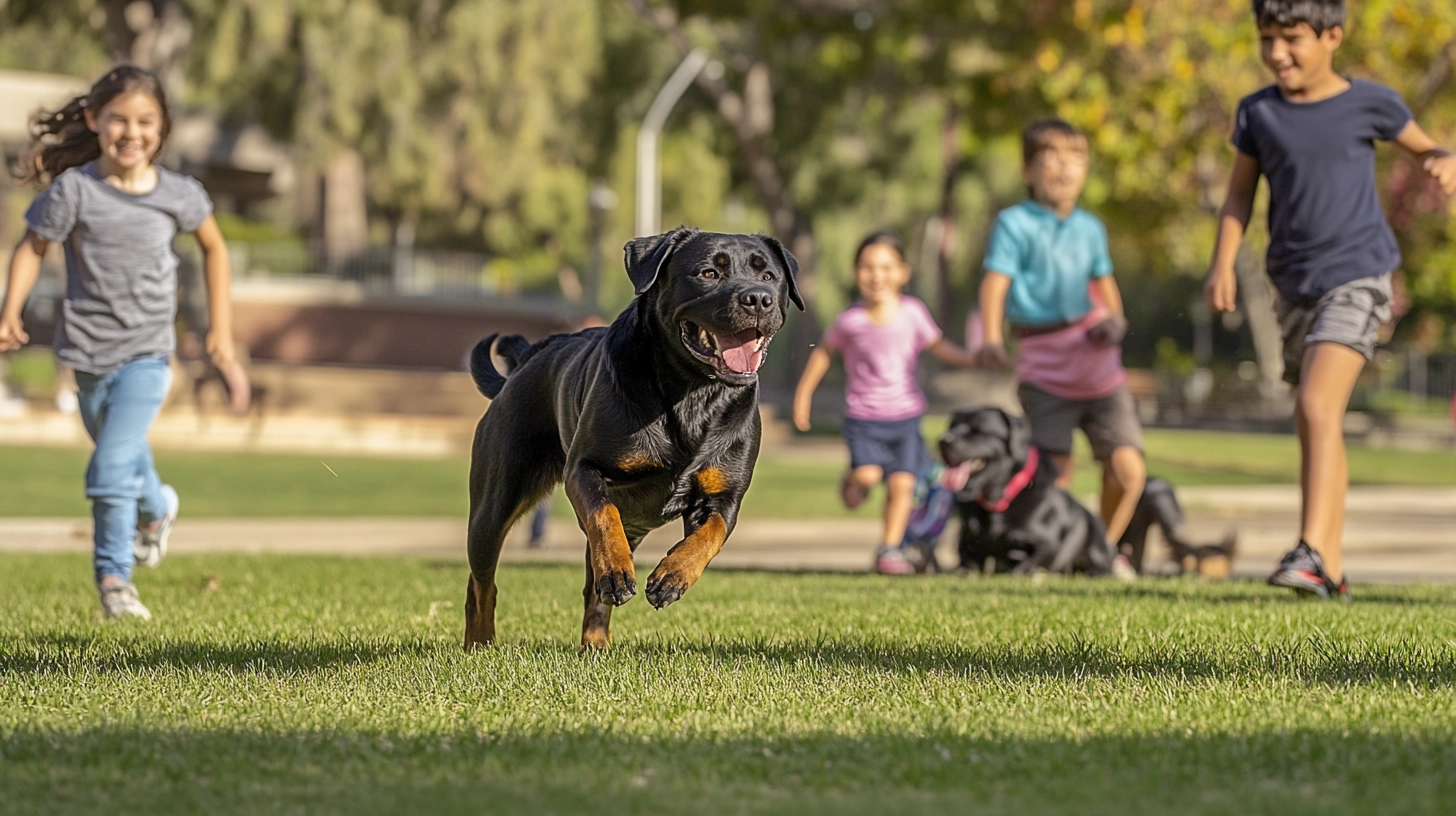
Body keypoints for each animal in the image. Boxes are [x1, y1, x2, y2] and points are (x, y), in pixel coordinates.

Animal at [460, 227, 803, 649]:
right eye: (708, 273)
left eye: (769, 276)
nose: (757, 298)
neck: (692, 393)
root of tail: (525, 360)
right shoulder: (585, 468)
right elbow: (603, 514)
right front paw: (619, 571)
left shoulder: (724, 496)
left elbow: (711, 533)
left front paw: (672, 576)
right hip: (494, 504)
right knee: (482, 584)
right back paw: (480, 644)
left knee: (592, 593)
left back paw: (595, 644)